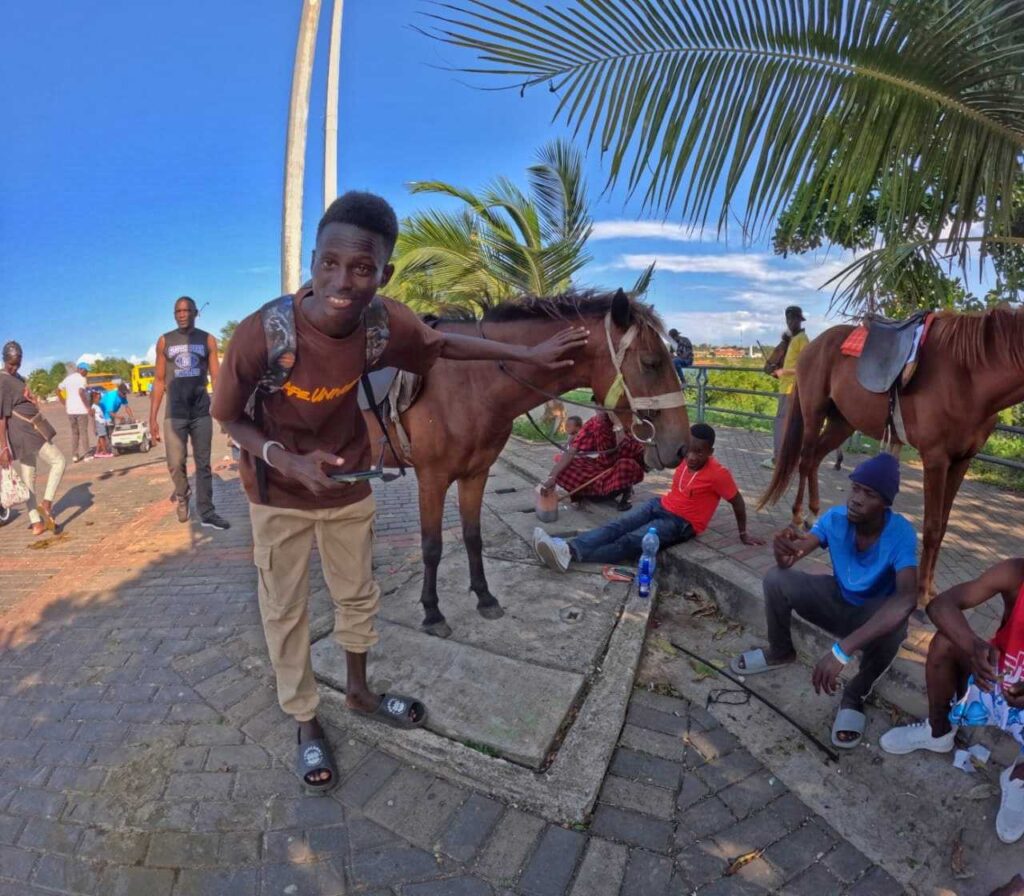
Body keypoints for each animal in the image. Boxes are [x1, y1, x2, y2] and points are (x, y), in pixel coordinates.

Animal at [364, 288, 692, 638]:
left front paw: (484, 597)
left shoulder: (475, 474)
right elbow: (431, 547)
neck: (469, 383)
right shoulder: (432, 478)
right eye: (650, 363)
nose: (681, 446)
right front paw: (432, 612)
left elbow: (473, 536)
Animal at [761, 309, 1024, 602]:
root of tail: (813, 346)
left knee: (815, 459)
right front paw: (921, 595)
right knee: (806, 460)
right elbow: (932, 527)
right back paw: (798, 516)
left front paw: (931, 588)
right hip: (813, 413)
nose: (769, 367)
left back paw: (812, 515)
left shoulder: (961, 462)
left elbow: (943, 526)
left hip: (842, 423)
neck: (967, 376)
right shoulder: (935, 459)